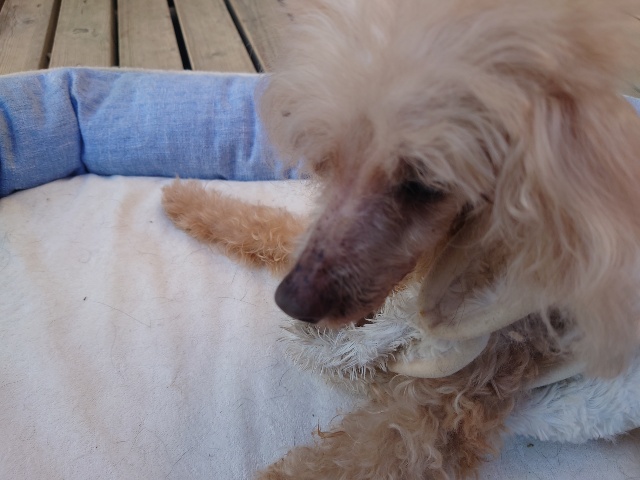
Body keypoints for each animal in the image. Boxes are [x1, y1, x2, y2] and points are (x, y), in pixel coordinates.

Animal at [162, 0, 640, 478]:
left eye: (424, 184)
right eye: (327, 162)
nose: (291, 301)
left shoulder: (445, 398)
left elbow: (359, 455)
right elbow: (279, 225)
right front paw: (186, 199)